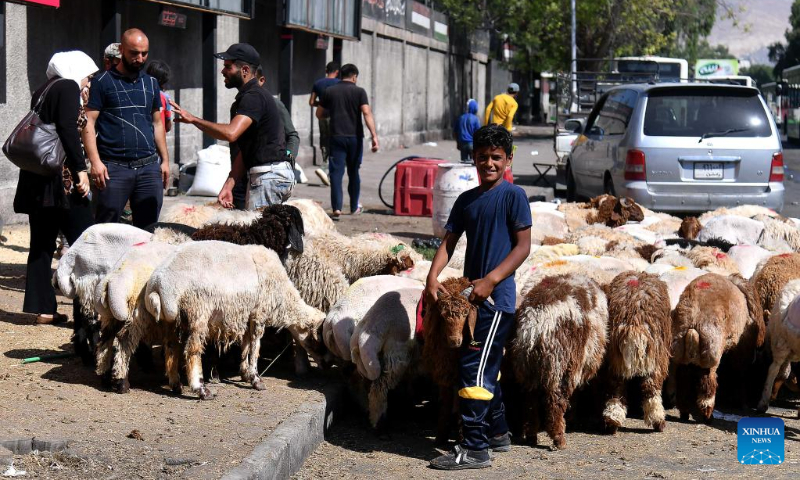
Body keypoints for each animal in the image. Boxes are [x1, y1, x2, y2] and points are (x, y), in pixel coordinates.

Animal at [418, 276, 476, 444]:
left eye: (465, 313)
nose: (455, 341)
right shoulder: (444, 369)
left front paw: (462, 435)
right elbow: (445, 401)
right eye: (443, 316)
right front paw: (441, 435)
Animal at [512, 274, 608, 450]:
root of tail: (535, 323)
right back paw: (559, 439)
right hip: (559, 364)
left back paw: (531, 436)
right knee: (554, 402)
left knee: (530, 403)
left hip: (528, 367)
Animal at [604, 272, 672, 434]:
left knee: (616, 388)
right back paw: (658, 421)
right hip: (656, 356)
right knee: (651, 388)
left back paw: (612, 421)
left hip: (615, 357)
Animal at [672, 274, 764, 424]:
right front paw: (742, 403)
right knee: (707, 386)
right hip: (711, 355)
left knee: (683, 382)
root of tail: (692, 324)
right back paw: (707, 416)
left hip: (681, 354)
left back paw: (684, 412)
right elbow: (740, 373)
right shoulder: (742, 347)